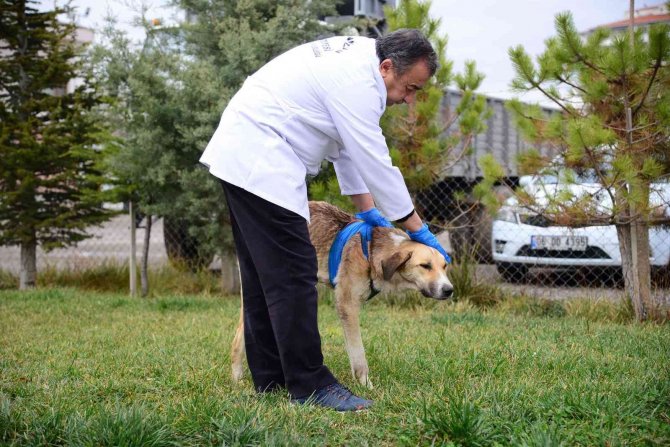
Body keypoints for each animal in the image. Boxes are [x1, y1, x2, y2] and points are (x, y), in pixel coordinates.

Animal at [232, 202, 456, 388]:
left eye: (444, 266)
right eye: (425, 266)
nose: (449, 290)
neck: (371, 251)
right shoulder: (347, 305)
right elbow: (359, 354)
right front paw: (366, 385)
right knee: (238, 338)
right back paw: (237, 378)